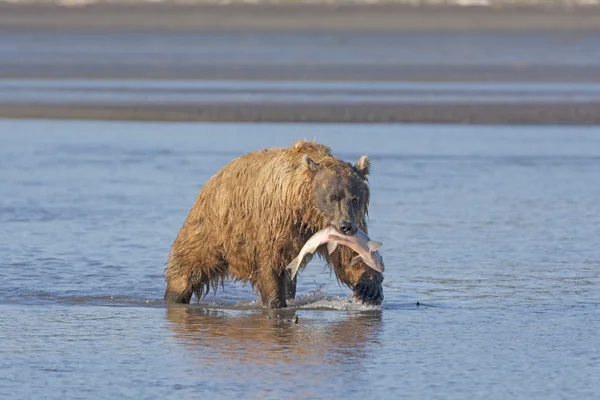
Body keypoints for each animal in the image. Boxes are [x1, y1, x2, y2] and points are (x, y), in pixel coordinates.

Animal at [163, 139, 384, 308]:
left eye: (355, 198)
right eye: (333, 196)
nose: (346, 226)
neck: (306, 210)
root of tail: (212, 180)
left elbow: (348, 258)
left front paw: (368, 289)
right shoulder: (276, 220)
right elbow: (271, 261)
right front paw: (275, 303)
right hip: (211, 228)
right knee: (187, 266)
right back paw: (174, 296)